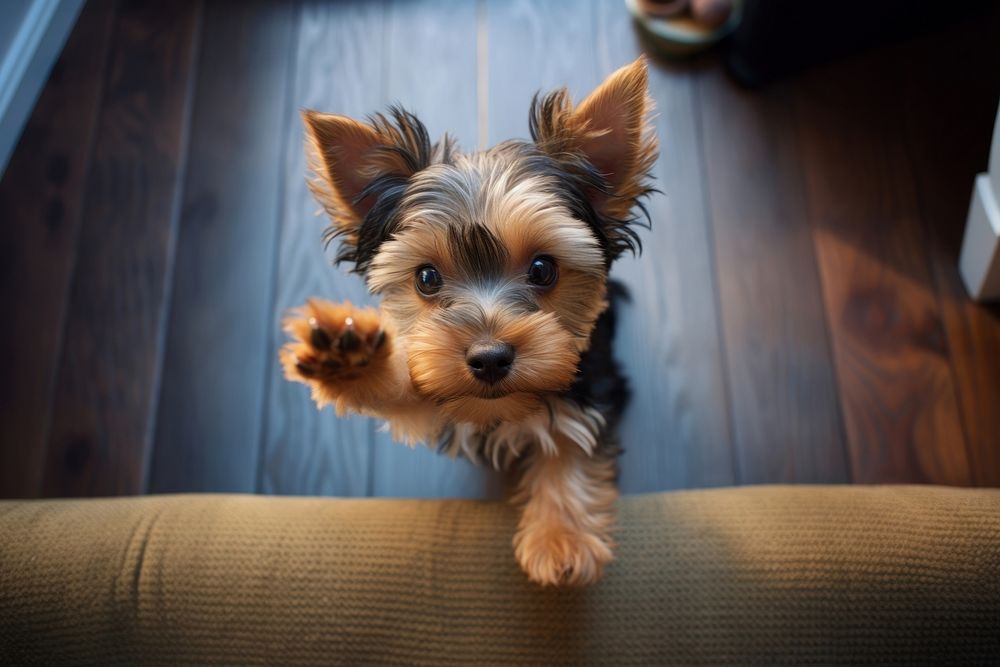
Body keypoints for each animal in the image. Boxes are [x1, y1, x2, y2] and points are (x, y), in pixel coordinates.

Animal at [282, 60, 656, 588]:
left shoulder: (593, 377)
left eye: (543, 269)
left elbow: (572, 435)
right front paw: (350, 354)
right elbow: (413, 382)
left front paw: (560, 538)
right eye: (426, 277)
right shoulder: (436, 376)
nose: (489, 358)